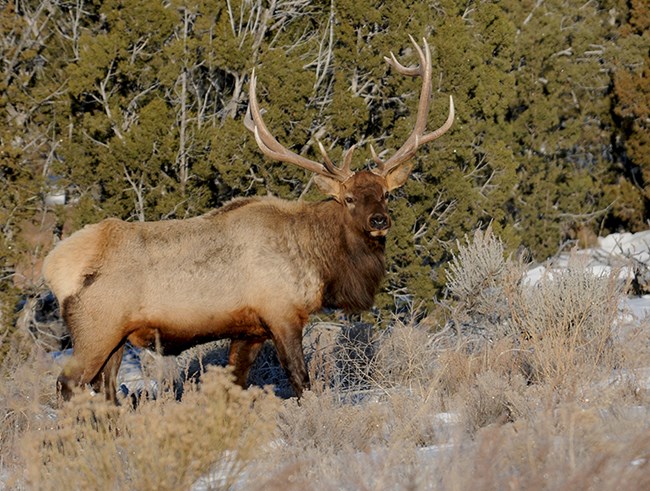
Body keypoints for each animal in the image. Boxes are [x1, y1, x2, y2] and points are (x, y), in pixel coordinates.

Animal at [44, 35, 450, 404]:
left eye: (385, 193)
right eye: (348, 198)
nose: (379, 221)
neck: (319, 263)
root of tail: (53, 266)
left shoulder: (250, 329)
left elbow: (234, 385)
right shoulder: (281, 312)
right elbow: (301, 381)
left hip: (115, 339)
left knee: (107, 390)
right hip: (96, 328)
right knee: (67, 384)